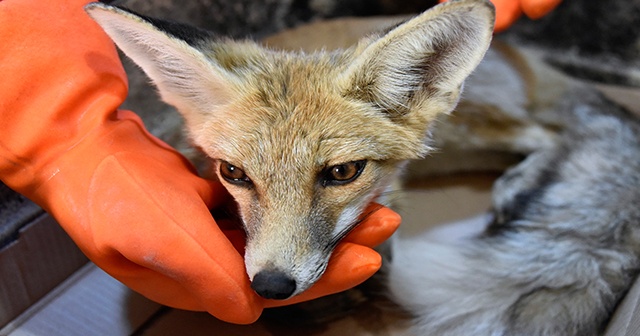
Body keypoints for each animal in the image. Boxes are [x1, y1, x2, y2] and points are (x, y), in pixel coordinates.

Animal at [85, 0, 640, 334]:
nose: (270, 287)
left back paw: (517, 185)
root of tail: (516, 50)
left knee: (549, 134)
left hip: (461, 127)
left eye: (342, 173)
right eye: (234, 174)